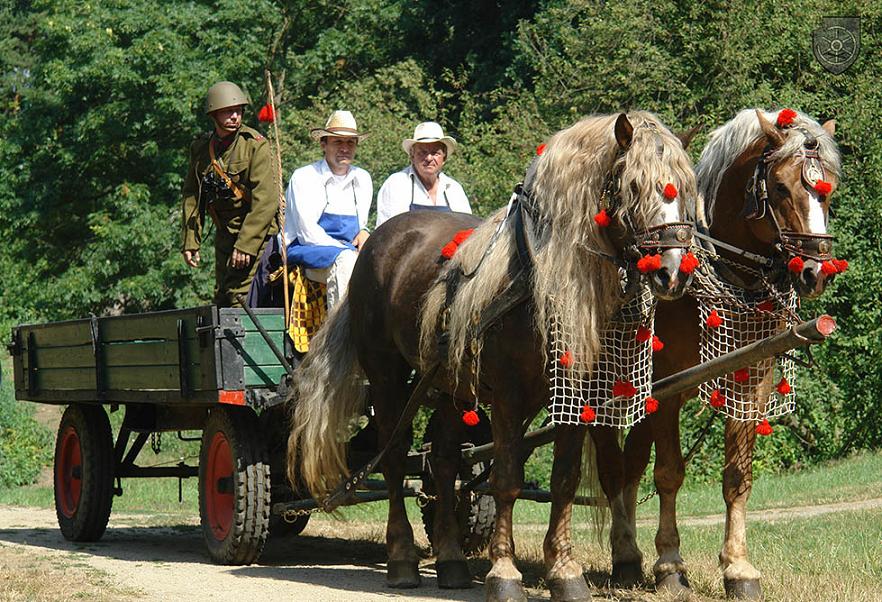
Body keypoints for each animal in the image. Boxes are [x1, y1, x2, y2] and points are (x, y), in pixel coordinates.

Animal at [288, 111, 696, 600]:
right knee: (394, 459)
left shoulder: (573, 396)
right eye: (634, 186)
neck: (540, 279)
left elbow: (563, 480)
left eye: (684, 188)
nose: (674, 272)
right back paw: (402, 558)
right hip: (387, 377)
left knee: (445, 463)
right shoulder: (507, 395)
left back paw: (451, 561)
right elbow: (506, 481)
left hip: (448, 384)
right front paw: (504, 573)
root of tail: (378, 240)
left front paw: (565, 571)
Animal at [592, 108, 840, 596]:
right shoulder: (667, 388)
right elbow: (669, 474)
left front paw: (738, 568)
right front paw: (670, 565)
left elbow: (737, 477)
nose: (817, 270)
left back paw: (626, 552)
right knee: (610, 465)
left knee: (630, 464)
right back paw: (626, 556)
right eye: (780, 187)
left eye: (829, 189)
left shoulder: (750, 377)